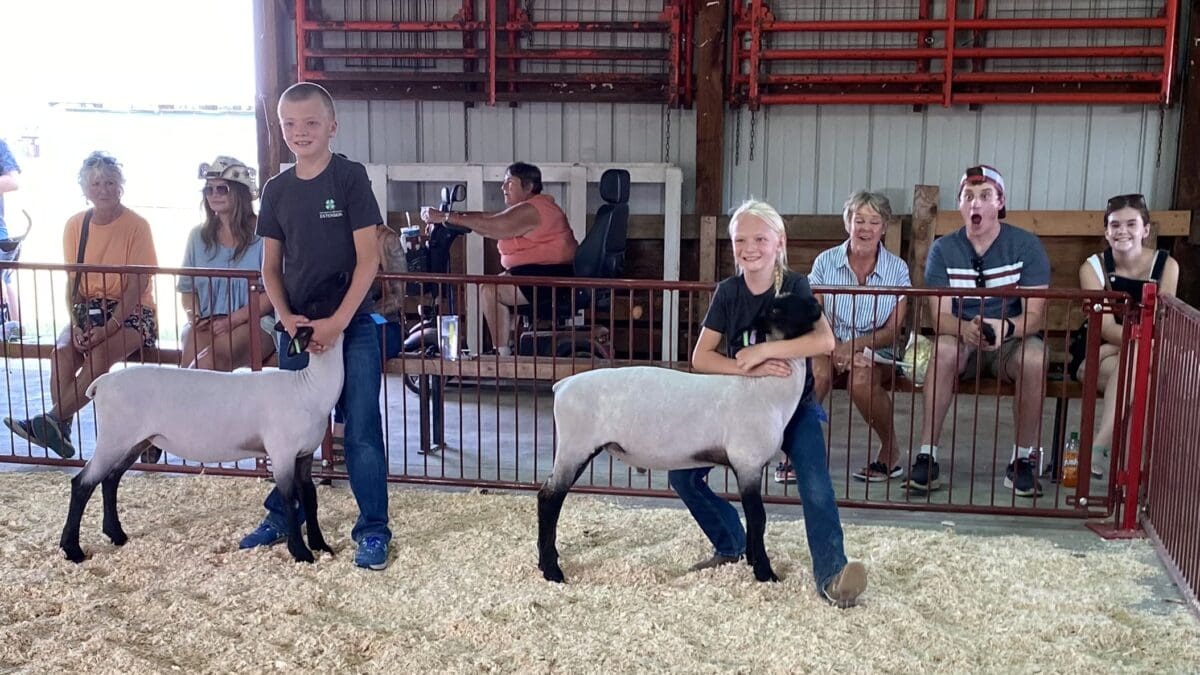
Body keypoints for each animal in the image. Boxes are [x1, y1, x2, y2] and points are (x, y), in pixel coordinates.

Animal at [537, 291, 825, 581]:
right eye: (776, 309)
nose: (817, 306)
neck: (766, 389)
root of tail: (561, 385)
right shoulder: (747, 461)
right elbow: (758, 517)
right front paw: (765, 572)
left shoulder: (751, 465)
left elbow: (754, 519)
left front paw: (753, 561)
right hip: (575, 447)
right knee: (549, 499)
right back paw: (552, 570)